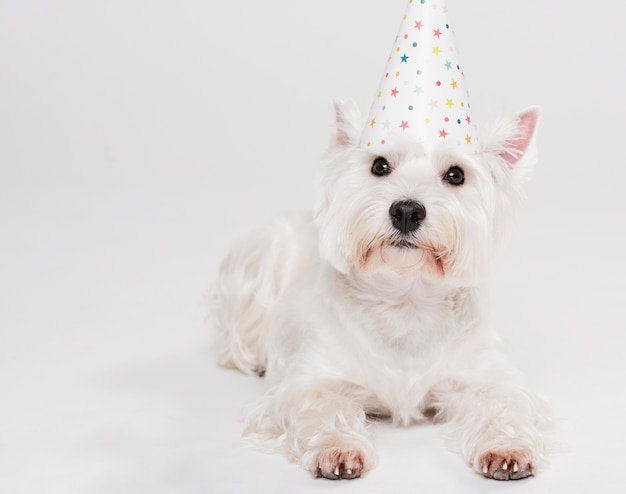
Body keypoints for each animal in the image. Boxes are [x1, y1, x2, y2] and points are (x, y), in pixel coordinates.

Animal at [210, 98, 552, 480]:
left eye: (455, 174)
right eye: (380, 165)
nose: (406, 210)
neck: (405, 299)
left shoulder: (485, 377)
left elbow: (503, 404)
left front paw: (507, 448)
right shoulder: (308, 381)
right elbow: (321, 405)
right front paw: (338, 449)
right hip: (263, 253)